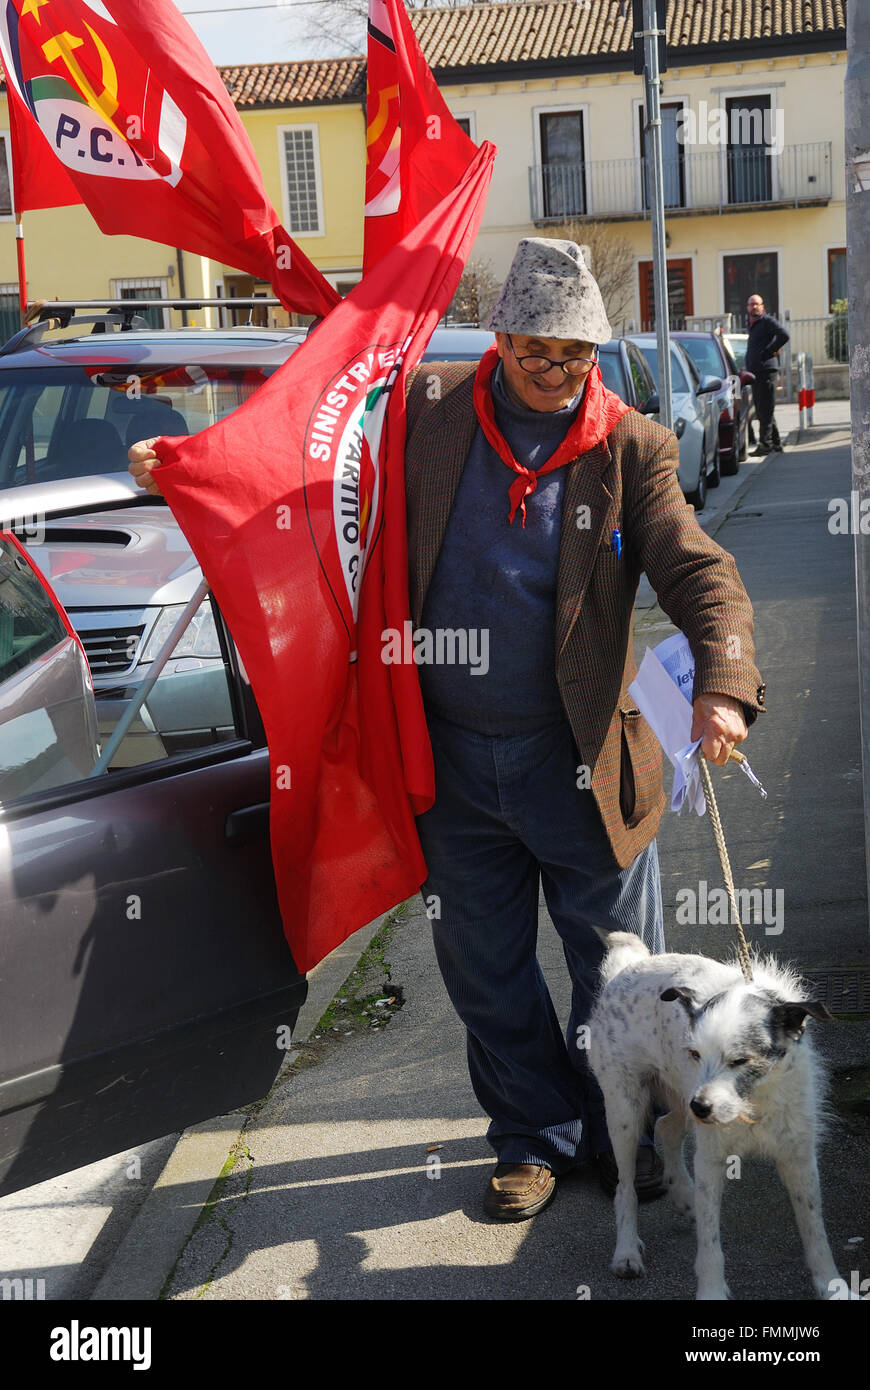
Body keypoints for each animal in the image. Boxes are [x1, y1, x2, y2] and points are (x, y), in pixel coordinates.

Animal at [583, 934, 844, 1301]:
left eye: (740, 1060)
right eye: (695, 1054)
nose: (702, 1107)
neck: (752, 1103)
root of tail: (629, 966)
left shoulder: (799, 1158)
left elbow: (815, 1232)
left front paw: (834, 1286)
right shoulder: (710, 1159)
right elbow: (710, 1245)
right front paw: (711, 1290)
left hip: (678, 1096)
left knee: (665, 1127)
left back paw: (684, 1196)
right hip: (627, 1111)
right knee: (625, 1187)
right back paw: (627, 1251)